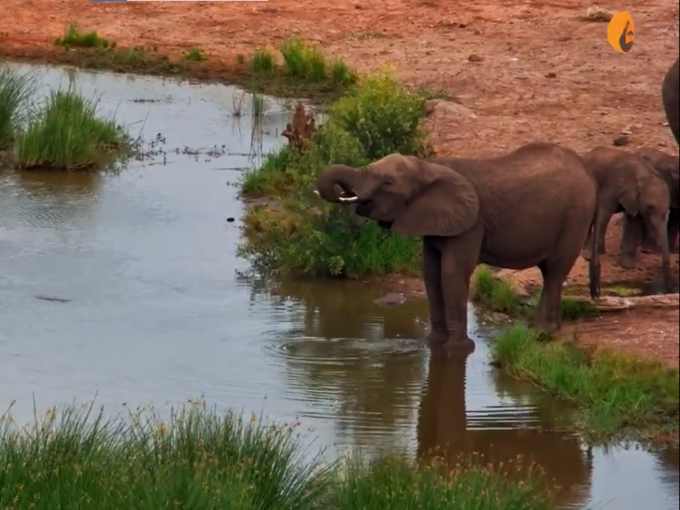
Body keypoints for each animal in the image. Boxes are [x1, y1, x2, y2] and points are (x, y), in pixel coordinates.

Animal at [314, 143, 600, 350]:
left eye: (387, 182)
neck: (429, 167)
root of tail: (586, 170)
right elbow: (430, 272)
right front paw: (434, 344)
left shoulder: (471, 224)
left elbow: (452, 273)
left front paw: (458, 350)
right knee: (552, 273)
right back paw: (553, 328)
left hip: (575, 215)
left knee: (555, 270)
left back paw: (540, 331)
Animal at [580, 146, 676, 290]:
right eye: (650, 207)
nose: (668, 288)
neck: (644, 174)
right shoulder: (613, 184)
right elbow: (604, 213)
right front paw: (590, 257)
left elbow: (634, 223)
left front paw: (627, 266)